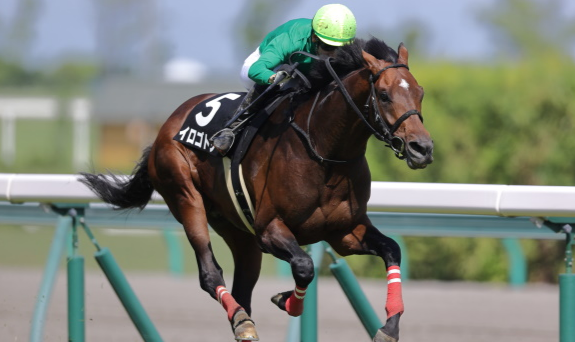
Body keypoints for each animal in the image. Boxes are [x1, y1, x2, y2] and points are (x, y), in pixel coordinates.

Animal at [80, 38, 432, 342]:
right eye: (384, 94)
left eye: (420, 92)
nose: (422, 148)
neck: (323, 150)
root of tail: (166, 126)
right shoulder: (269, 229)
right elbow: (304, 266)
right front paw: (289, 301)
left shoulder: (344, 232)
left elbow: (392, 250)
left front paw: (389, 326)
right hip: (184, 194)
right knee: (210, 274)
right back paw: (242, 321)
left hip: (238, 231)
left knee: (242, 289)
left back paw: (242, 319)